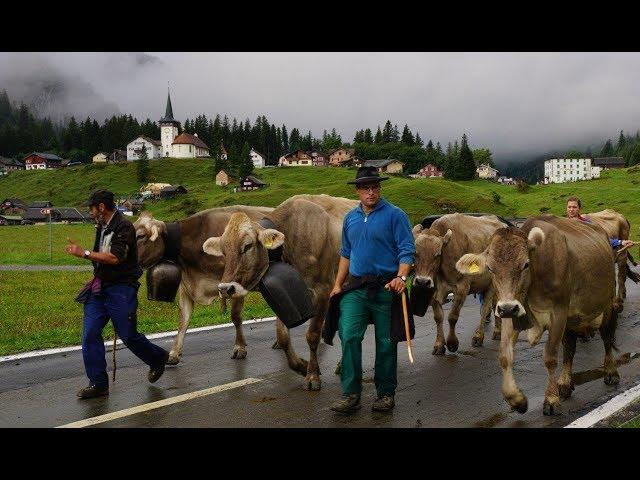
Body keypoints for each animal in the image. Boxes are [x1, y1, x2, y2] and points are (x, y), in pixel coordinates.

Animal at [135, 204, 272, 366]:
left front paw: (239, 348)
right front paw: (174, 353)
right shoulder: (186, 286)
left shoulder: (236, 282)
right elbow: (183, 320)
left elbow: (236, 316)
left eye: (140, 236)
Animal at [202, 194, 358, 390]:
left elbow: (312, 335)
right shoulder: (284, 295)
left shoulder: (323, 289)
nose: (225, 288)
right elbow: (283, 337)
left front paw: (313, 375)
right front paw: (302, 366)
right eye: (223, 250)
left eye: (247, 246)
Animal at [412, 213, 508, 352]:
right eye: (415, 253)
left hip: (492, 285)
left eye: (437, 254)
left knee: (485, 309)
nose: (422, 282)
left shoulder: (462, 288)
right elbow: (438, 317)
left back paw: (479, 336)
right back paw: (497, 331)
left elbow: (452, 317)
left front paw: (452, 343)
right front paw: (439, 344)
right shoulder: (435, 290)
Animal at [458, 216, 616, 414]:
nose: (507, 309)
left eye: (525, 264)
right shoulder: (512, 311)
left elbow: (550, 357)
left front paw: (551, 399)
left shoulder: (559, 312)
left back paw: (610, 372)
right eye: (490, 268)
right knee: (570, 346)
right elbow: (505, 356)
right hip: (571, 318)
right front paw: (516, 400)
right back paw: (565, 383)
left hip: (607, 303)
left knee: (607, 337)